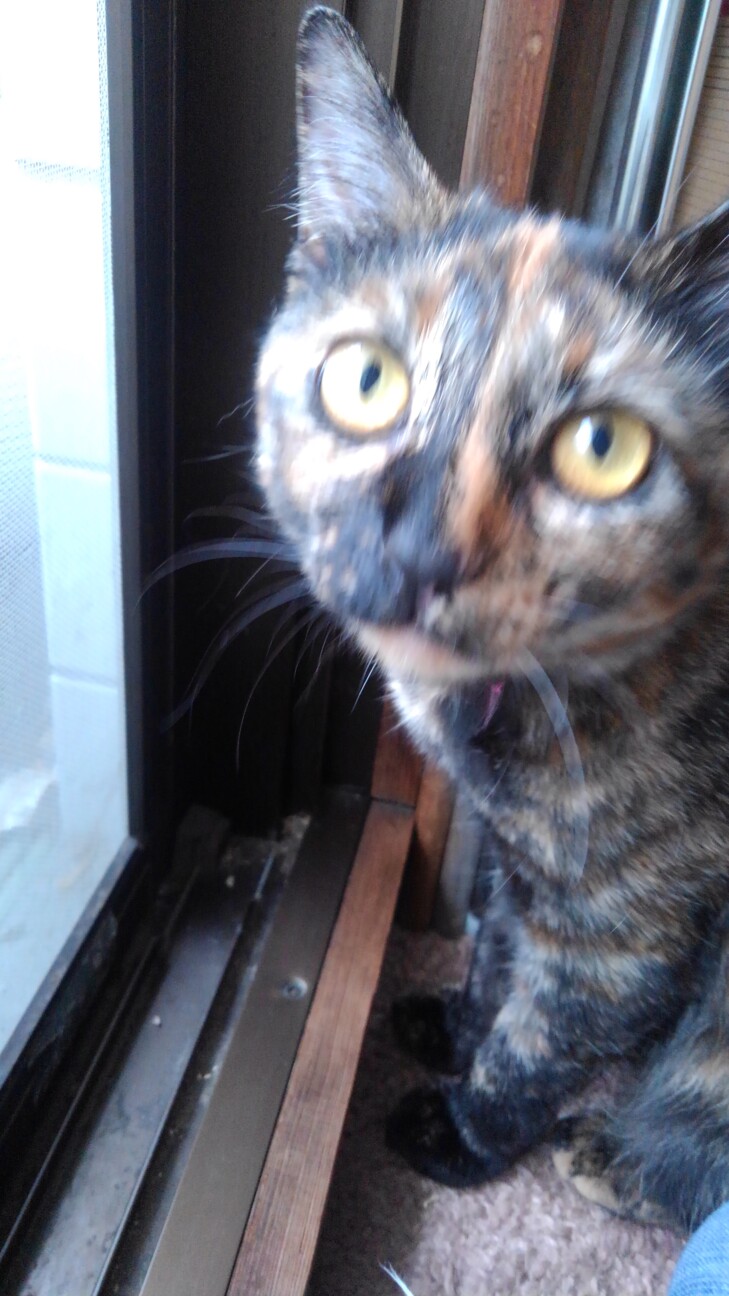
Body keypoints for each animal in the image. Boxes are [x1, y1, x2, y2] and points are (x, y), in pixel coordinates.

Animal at [256, 7, 729, 1236]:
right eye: (364, 380)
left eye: (605, 449)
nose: (421, 548)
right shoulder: (522, 863)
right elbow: (494, 958)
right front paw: (447, 1028)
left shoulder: (623, 924)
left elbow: (541, 1037)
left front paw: (462, 1131)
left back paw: (614, 1155)